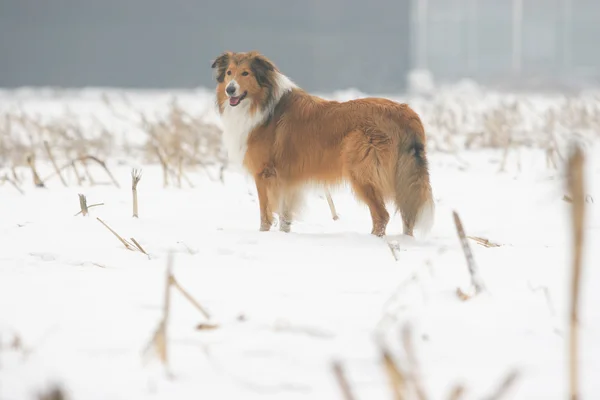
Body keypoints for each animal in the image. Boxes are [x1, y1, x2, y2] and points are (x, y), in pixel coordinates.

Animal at [213, 50, 434, 238]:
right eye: (229, 72)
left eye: (246, 73)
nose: (230, 89)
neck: (263, 104)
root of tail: (405, 112)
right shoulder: (287, 179)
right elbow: (285, 216)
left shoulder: (264, 174)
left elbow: (265, 214)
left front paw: (263, 236)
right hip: (402, 177)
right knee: (407, 215)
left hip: (362, 172)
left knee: (382, 216)